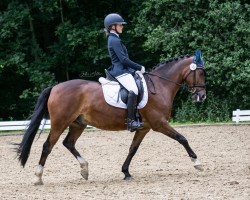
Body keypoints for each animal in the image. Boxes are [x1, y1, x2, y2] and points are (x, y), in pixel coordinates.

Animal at [16, 50, 207, 184]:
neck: (160, 86)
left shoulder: (144, 127)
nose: (202, 96)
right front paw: (197, 162)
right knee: (48, 145)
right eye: (201, 73)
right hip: (59, 123)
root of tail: (55, 87)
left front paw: (126, 172)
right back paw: (38, 177)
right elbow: (182, 138)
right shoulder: (159, 123)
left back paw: (85, 169)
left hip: (78, 124)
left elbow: (133, 149)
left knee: (68, 143)